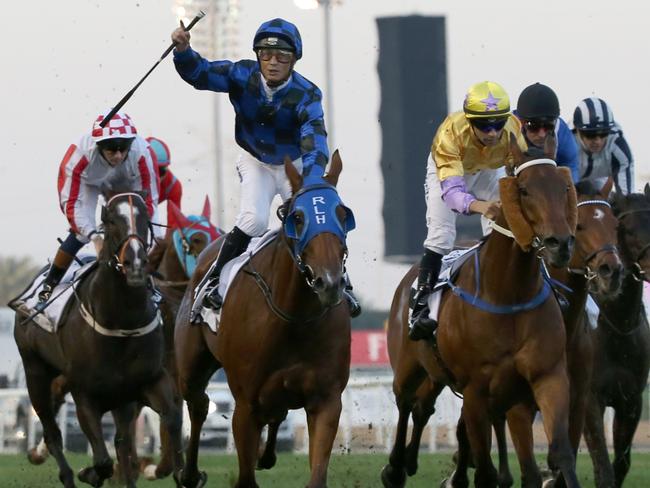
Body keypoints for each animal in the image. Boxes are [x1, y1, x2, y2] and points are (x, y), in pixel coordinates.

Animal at [15, 192, 182, 488]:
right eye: (112, 220)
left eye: (144, 218)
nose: (135, 264)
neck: (121, 321)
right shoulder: (84, 394)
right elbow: (102, 459)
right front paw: (89, 472)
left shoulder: (147, 381)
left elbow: (170, 419)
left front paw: (186, 473)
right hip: (35, 372)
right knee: (52, 431)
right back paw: (66, 473)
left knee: (120, 441)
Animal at [175, 151, 352, 486]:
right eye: (298, 217)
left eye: (342, 214)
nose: (329, 282)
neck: (294, 318)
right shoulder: (245, 407)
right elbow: (245, 476)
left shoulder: (327, 400)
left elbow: (317, 474)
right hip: (191, 363)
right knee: (198, 403)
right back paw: (189, 473)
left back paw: (265, 455)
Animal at [378, 135, 580, 488]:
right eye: (524, 189)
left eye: (564, 187)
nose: (560, 244)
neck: (509, 295)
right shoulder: (475, 391)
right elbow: (484, 469)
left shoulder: (546, 378)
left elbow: (560, 453)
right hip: (408, 365)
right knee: (404, 402)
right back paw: (396, 468)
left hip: (439, 372)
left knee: (423, 407)